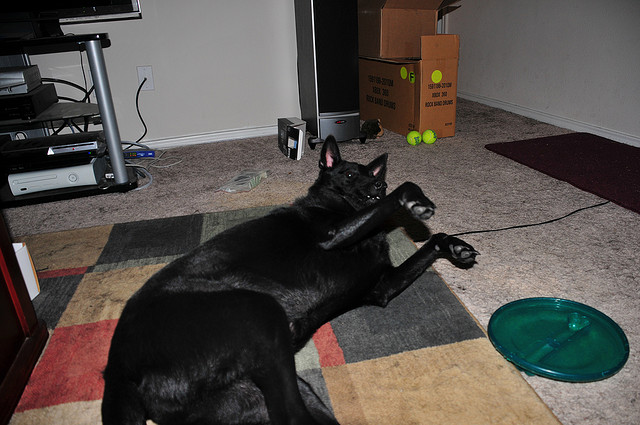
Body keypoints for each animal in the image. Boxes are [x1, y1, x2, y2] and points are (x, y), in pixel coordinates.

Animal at [102, 136, 478, 425]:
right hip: (260, 312)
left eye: (369, 175)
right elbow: (400, 193)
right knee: (291, 416)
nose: (379, 184)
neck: (334, 206)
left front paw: (454, 246)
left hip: (257, 394)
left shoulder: (381, 287)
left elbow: (433, 241)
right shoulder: (333, 237)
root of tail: (118, 367)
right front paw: (415, 200)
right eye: (349, 173)